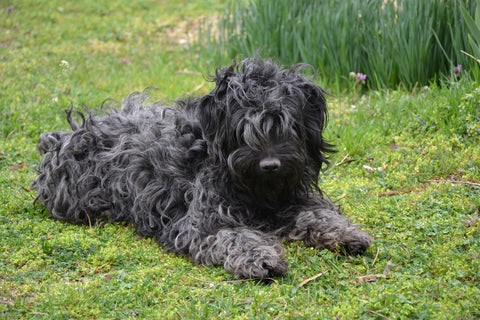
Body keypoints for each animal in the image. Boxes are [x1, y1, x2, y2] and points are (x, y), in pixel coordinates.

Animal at [31, 58, 374, 278]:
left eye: (287, 125)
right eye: (243, 129)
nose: (270, 165)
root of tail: (65, 135)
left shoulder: (292, 197)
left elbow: (317, 213)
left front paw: (345, 233)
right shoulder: (201, 222)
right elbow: (234, 236)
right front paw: (260, 257)